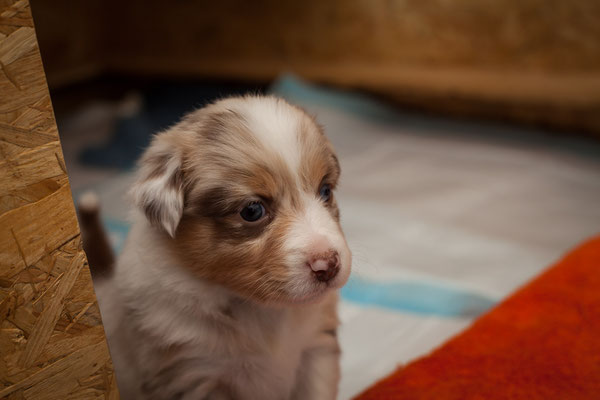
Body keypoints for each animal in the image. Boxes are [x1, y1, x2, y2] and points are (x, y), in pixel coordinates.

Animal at [92, 95, 352, 398]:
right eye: (252, 210)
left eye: (325, 191)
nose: (329, 265)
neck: (258, 309)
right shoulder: (195, 374)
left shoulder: (315, 348)